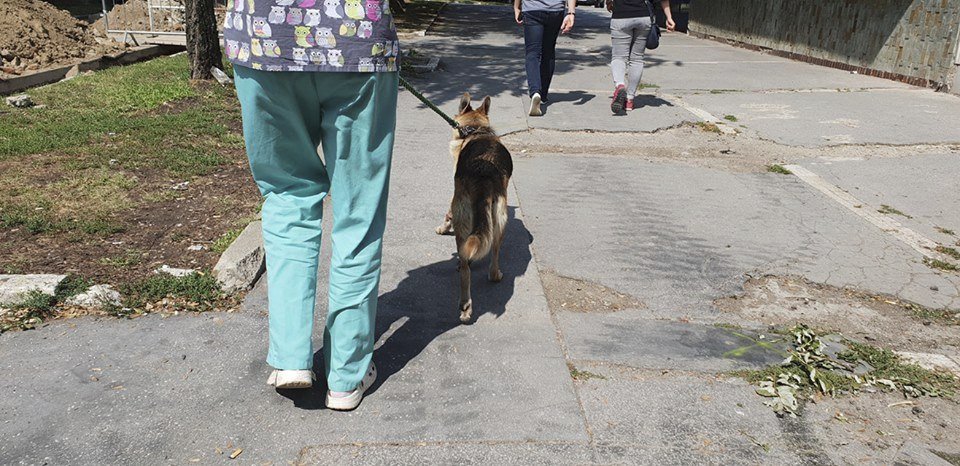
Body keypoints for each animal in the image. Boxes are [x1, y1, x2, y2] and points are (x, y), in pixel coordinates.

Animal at [436, 92, 510, 322]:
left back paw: (465, 304)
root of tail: (482, 175)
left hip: (468, 224)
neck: (476, 130)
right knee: (493, 258)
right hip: (500, 222)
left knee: (466, 265)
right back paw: (495, 275)